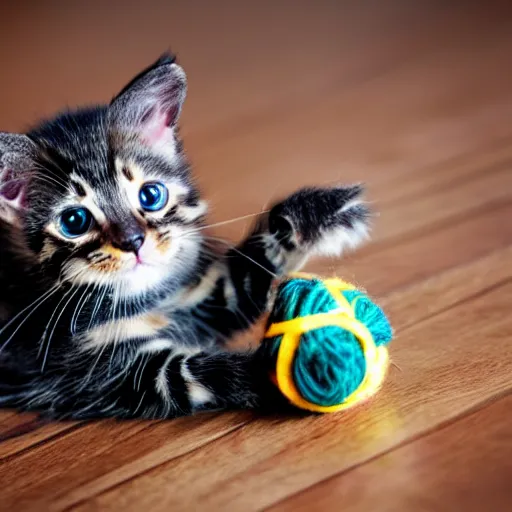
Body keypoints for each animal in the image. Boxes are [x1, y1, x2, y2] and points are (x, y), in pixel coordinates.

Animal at [0, 54, 370, 418]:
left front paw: (318, 213)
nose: (133, 242)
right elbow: (214, 373)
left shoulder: (203, 300)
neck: (143, 297)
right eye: (75, 221)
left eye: (151, 195)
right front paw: (311, 366)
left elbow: (249, 270)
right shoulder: (112, 371)